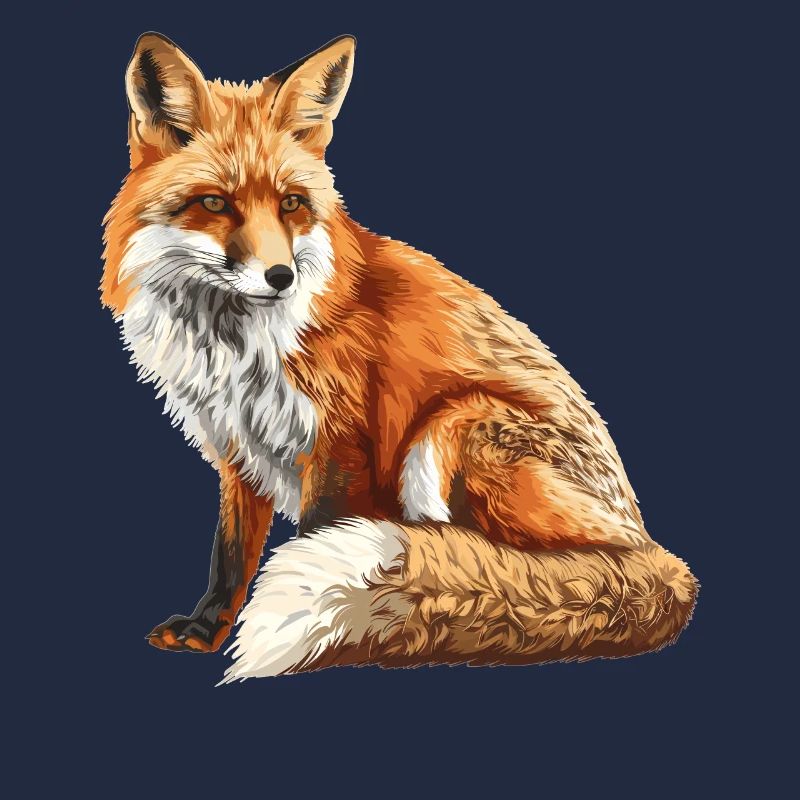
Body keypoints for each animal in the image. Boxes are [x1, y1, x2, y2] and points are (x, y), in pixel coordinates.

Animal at [101, 33, 697, 679]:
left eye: (291, 204)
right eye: (214, 203)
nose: (281, 277)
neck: (235, 342)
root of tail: (652, 548)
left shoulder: (339, 442)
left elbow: (314, 535)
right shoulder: (239, 445)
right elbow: (230, 556)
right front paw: (207, 630)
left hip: (450, 429)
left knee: (495, 561)